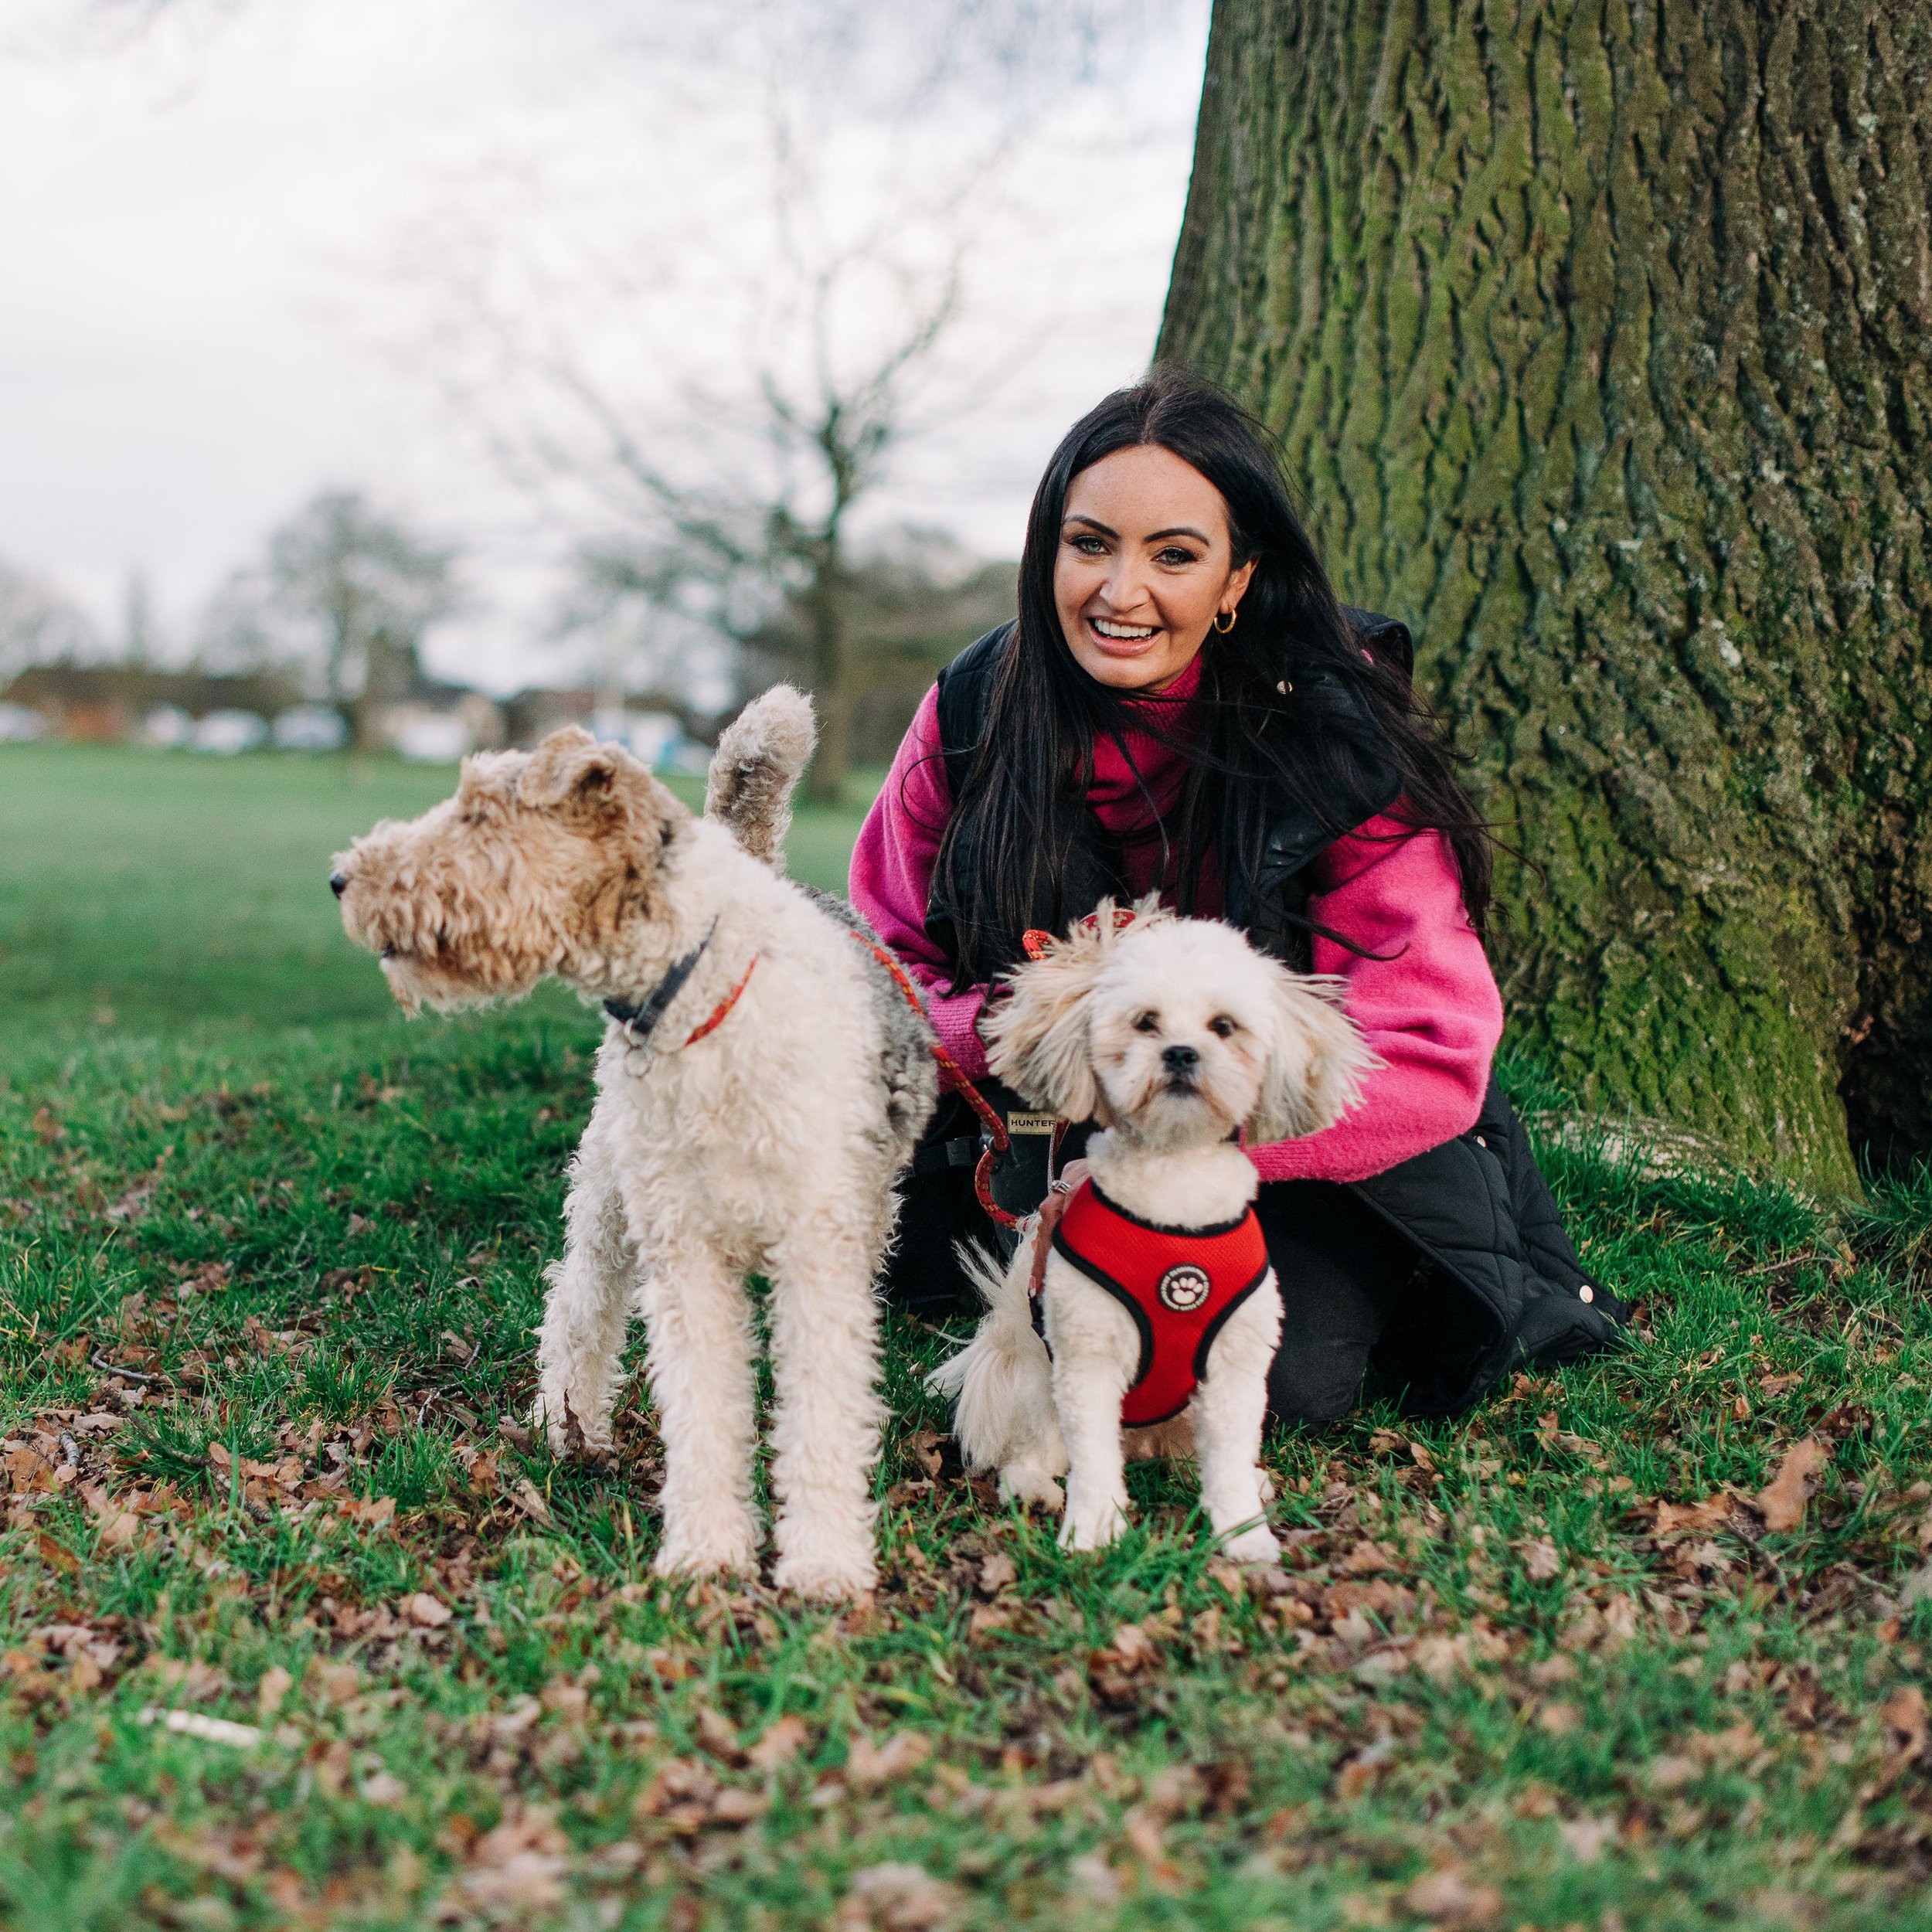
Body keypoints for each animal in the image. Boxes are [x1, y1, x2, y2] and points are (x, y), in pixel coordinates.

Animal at [332, 688, 935, 1592]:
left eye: (478, 812)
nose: (339, 877)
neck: (705, 991)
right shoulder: (687, 1255)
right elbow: (705, 1409)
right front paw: (709, 1553)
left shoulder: (818, 1257)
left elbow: (822, 1413)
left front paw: (823, 1563)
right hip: (613, 1196)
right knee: (576, 1309)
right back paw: (566, 1427)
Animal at [931, 912, 1376, 1561]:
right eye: (1145, 1021)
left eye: (1224, 1025)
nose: (1182, 1053)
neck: (1175, 1199)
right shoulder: (1089, 1359)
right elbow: (1092, 1461)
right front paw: (1094, 1531)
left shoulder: (1234, 1368)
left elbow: (1229, 1460)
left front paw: (1244, 1535)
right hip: (1037, 1380)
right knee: (1033, 1453)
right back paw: (1035, 1489)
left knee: (1196, 1453)